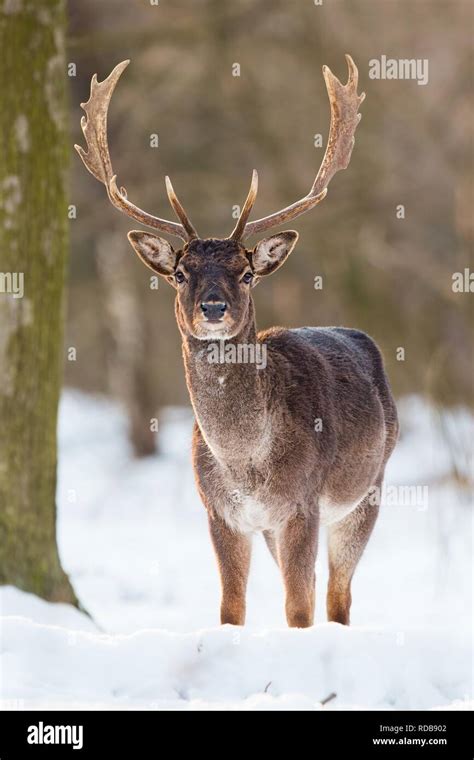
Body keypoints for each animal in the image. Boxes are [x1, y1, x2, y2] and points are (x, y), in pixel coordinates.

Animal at [75, 56, 400, 628]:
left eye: (246, 273)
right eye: (180, 272)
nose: (213, 308)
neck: (246, 462)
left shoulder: (302, 504)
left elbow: (298, 608)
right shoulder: (221, 512)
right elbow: (231, 609)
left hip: (368, 490)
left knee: (337, 596)